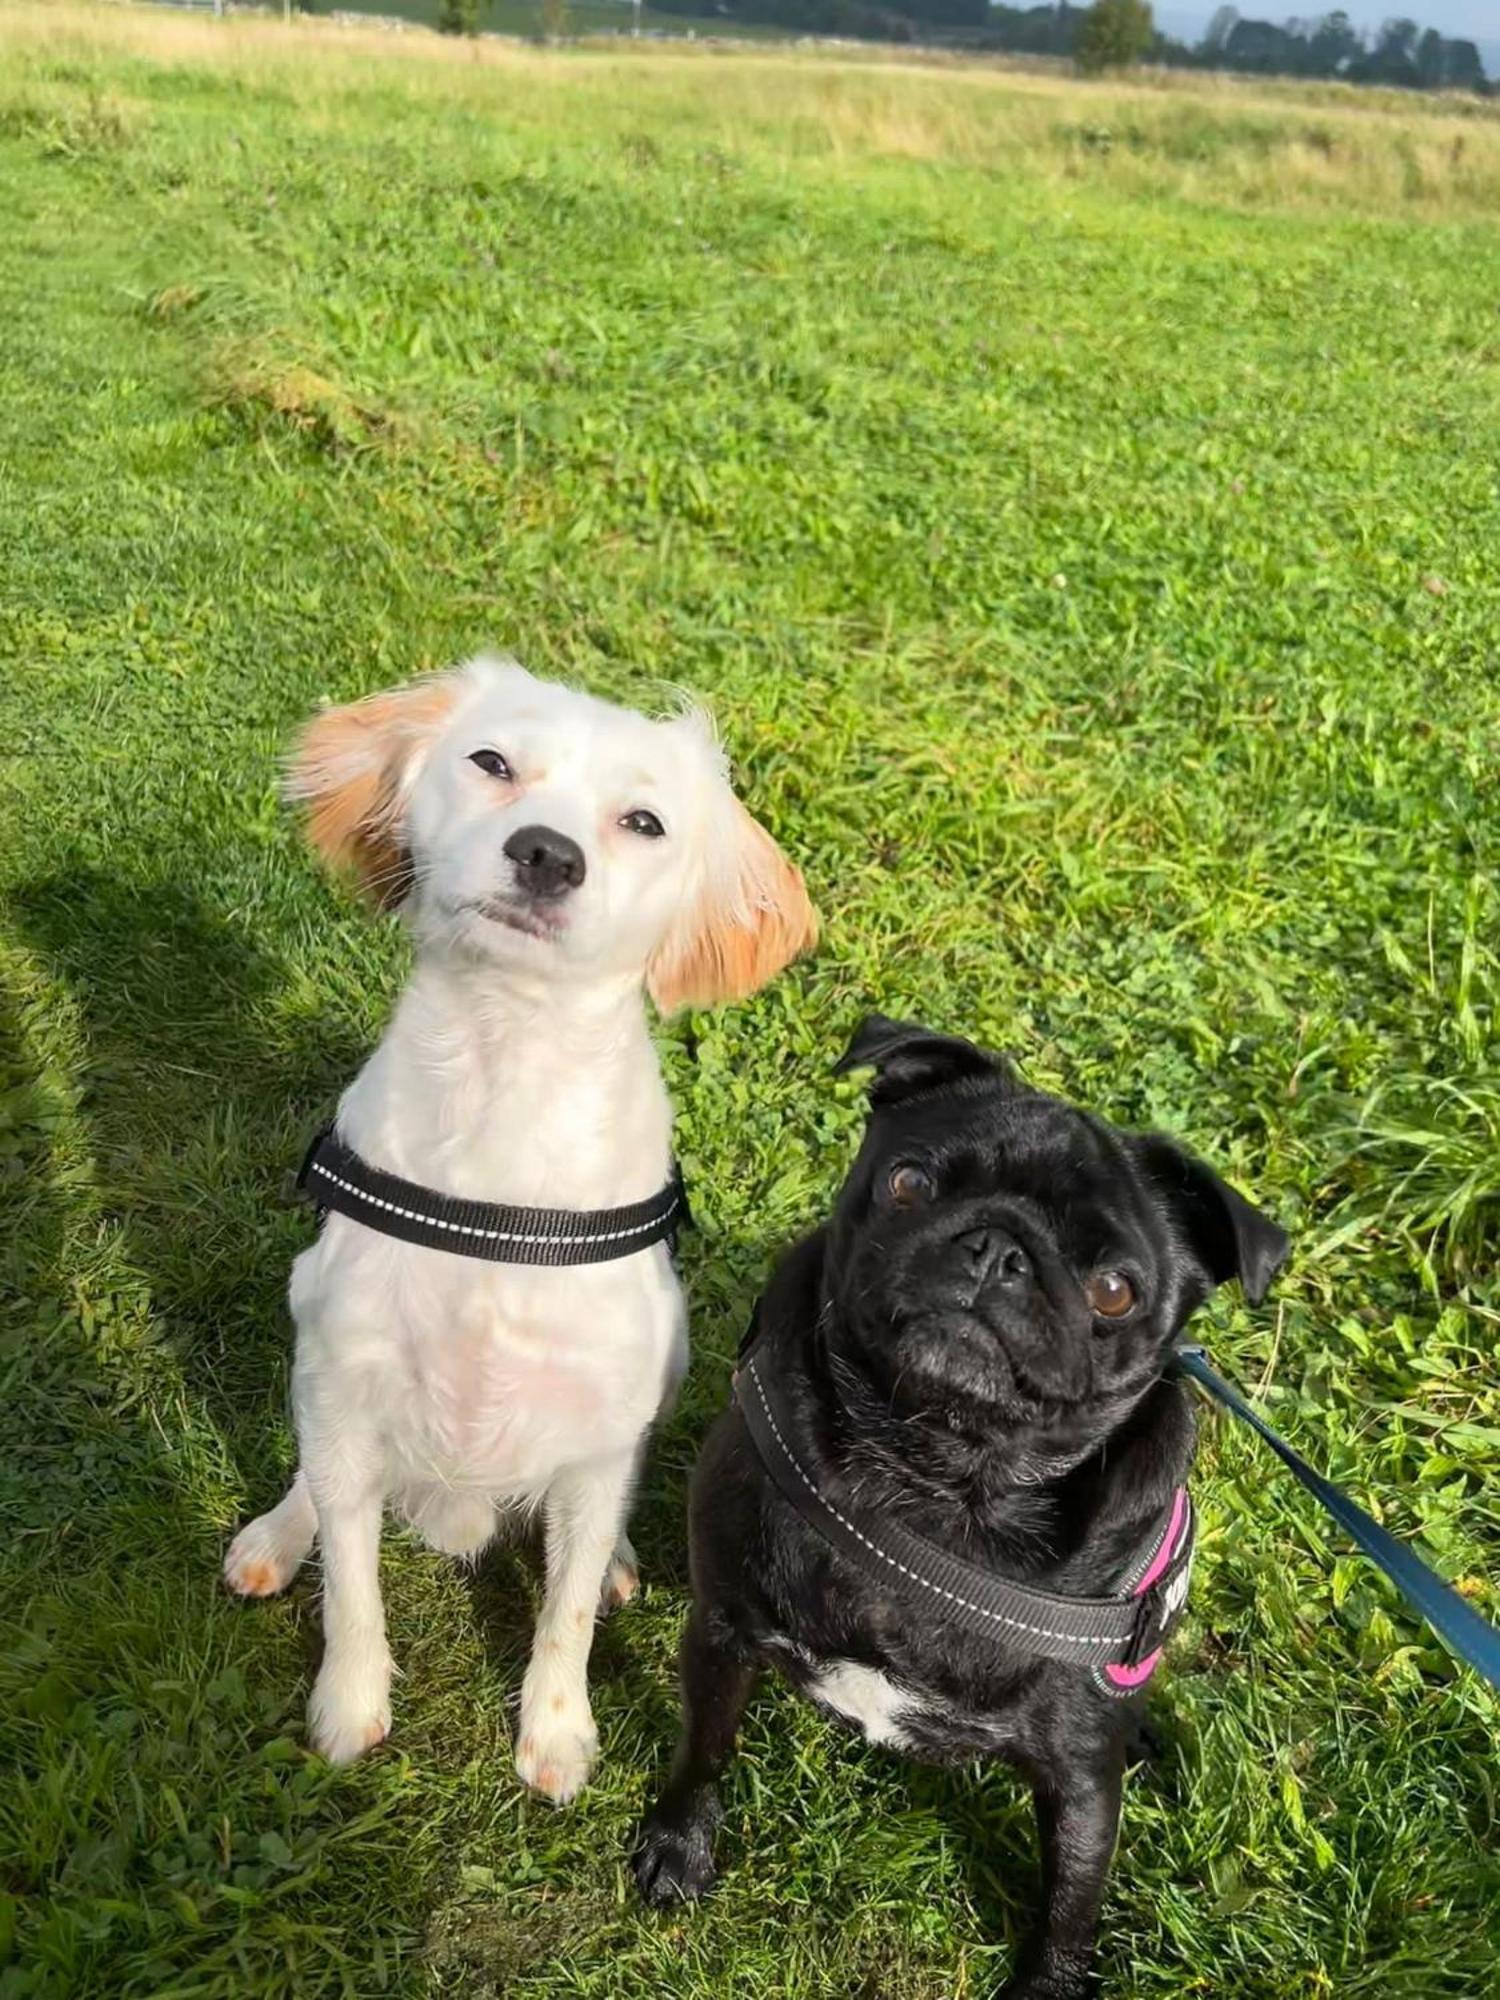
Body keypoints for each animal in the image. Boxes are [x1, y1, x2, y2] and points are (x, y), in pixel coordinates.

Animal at [220, 656, 824, 1800]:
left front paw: (556, 1731)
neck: (507, 1081)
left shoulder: (599, 1426)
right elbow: (353, 1584)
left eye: (643, 820)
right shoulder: (348, 1377)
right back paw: (279, 1529)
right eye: (491, 762)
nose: (547, 853)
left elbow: (567, 1606)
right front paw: (347, 1708)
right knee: (315, 1479)